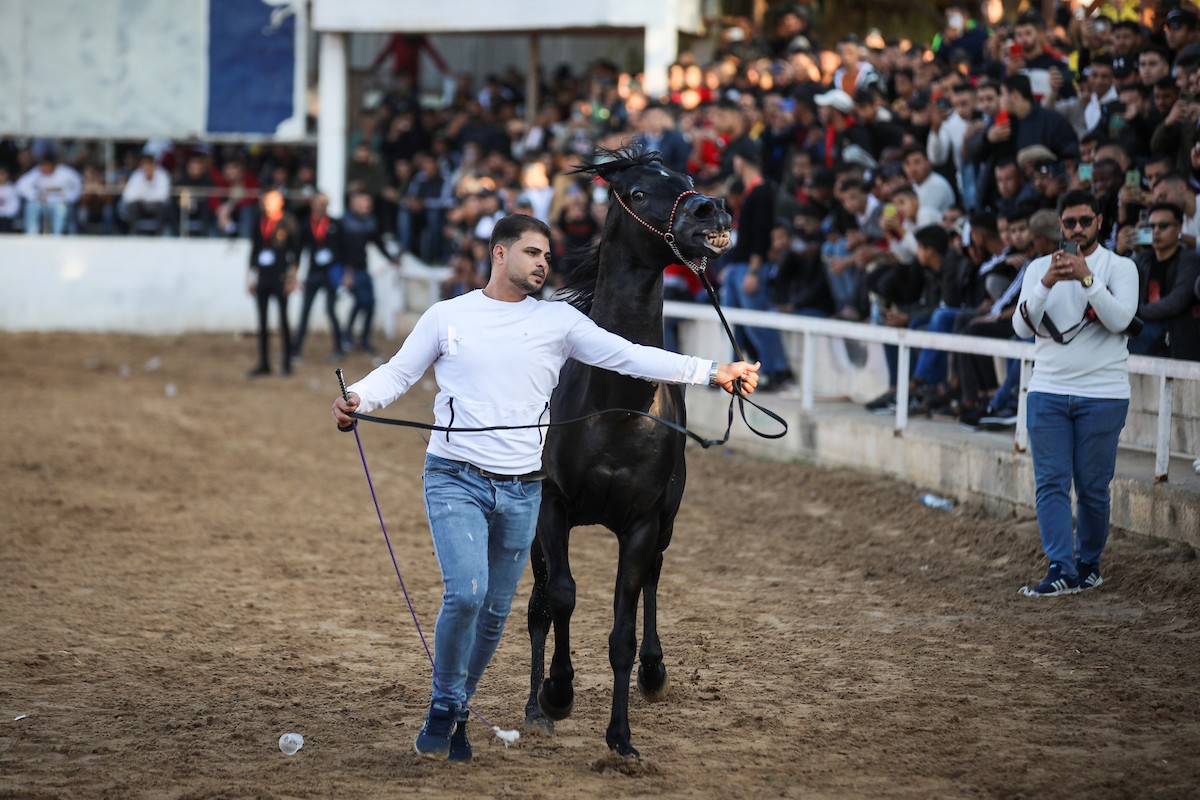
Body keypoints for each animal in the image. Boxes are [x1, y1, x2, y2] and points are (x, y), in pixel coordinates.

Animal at [523, 148, 729, 758]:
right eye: (637, 192)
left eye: (687, 179)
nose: (710, 210)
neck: (613, 406)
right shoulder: (551, 507)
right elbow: (561, 598)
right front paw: (556, 694)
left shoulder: (642, 523)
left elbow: (622, 630)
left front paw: (621, 739)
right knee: (539, 604)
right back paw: (535, 707)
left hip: (667, 520)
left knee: (653, 581)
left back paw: (654, 671)